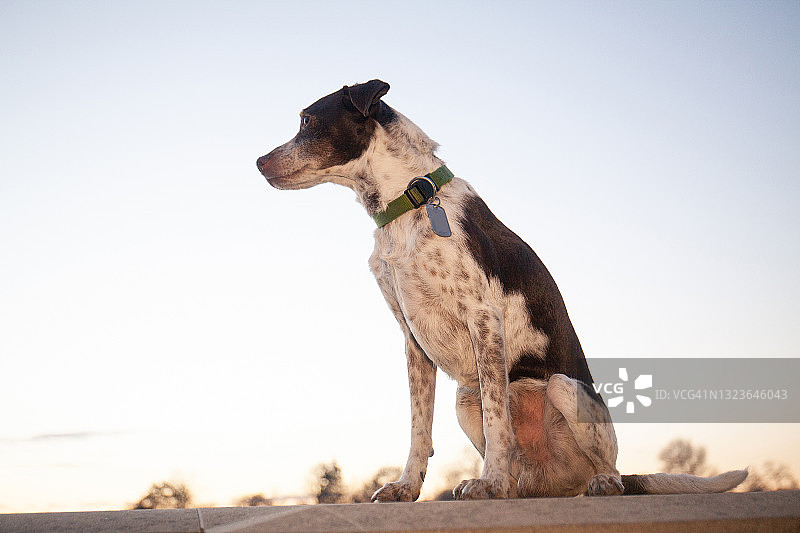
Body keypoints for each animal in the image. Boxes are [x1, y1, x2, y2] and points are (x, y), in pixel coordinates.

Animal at [258, 78, 752, 498]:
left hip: (564, 388)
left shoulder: (482, 317)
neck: (407, 205)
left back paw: (597, 483)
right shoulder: (413, 340)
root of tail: (555, 480)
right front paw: (406, 488)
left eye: (307, 121)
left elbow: (498, 420)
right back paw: (514, 486)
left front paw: (488, 481)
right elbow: (419, 429)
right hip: (464, 397)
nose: (258, 162)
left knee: (604, 466)